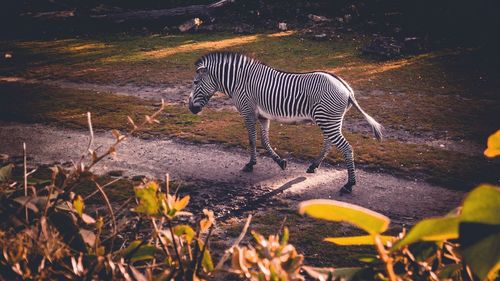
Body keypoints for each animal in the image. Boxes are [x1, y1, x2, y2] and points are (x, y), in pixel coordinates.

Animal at [188, 51, 382, 192]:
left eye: (196, 82)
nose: (191, 109)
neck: (238, 81)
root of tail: (346, 89)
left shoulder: (247, 111)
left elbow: (252, 140)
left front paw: (250, 165)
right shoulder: (262, 116)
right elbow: (264, 140)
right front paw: (280, 162)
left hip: (327, 119)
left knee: (346, 148)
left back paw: (349, 184)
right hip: (331, 120)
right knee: (329, 143)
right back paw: (314, 166)